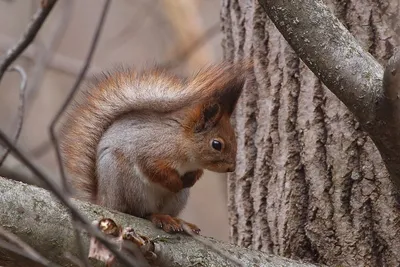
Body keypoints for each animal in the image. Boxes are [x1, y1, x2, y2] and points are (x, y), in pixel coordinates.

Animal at [60, 62, 247, 234]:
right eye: (217, 144)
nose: (232, 168)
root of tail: (104, 200)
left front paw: (193, 177)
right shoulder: (151, 150)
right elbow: (153, 168)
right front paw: (175, 182)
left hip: (177, 199)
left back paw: (179, 221)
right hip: (127, 183)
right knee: (140, 213)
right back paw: (159, 217)